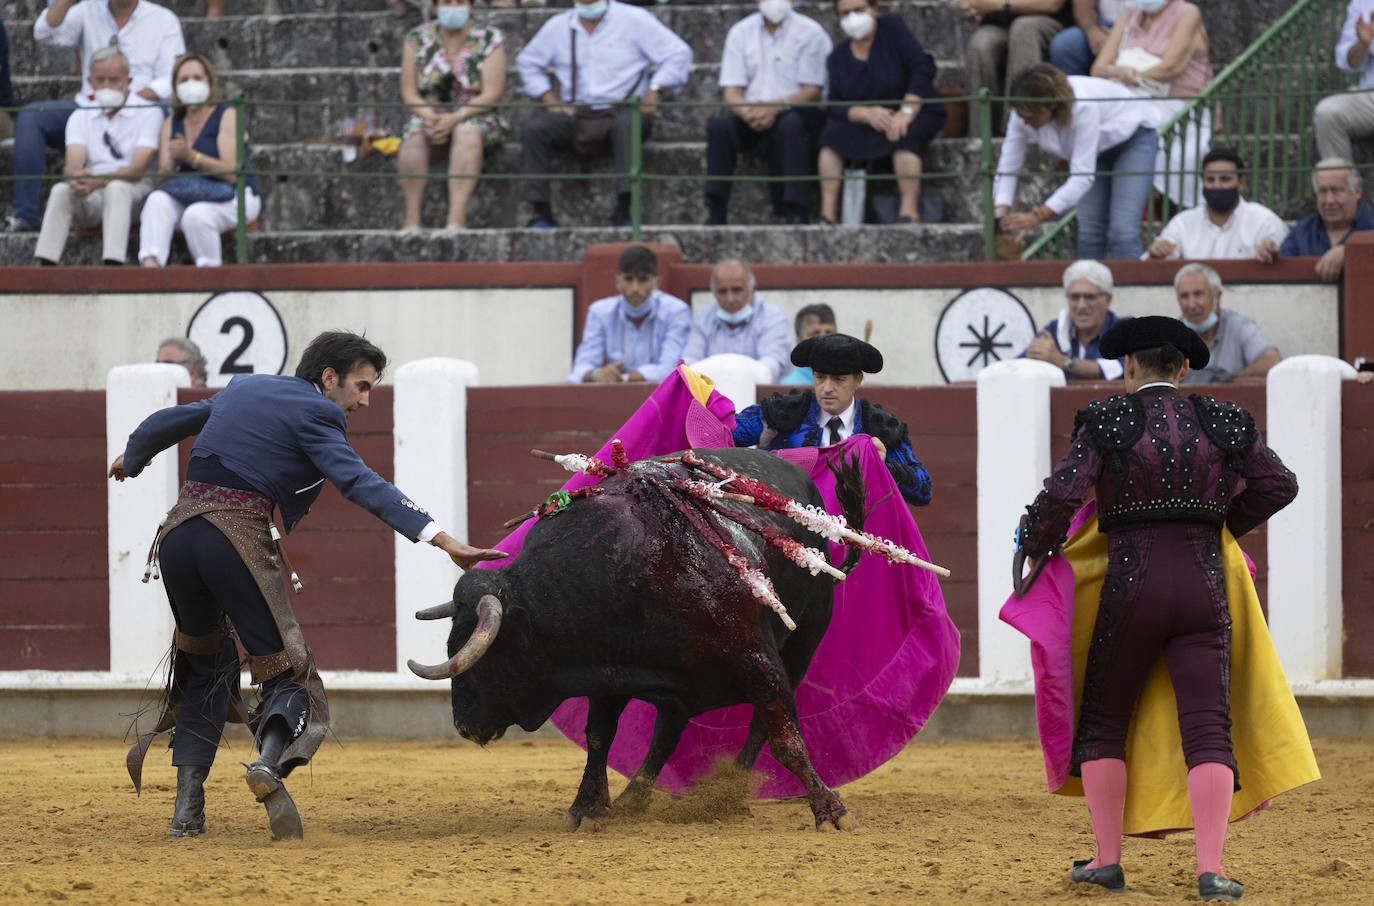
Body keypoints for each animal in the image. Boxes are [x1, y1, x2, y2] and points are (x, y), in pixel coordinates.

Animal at [401, 445, 862, 830]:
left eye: (489, 655)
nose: (464, 725)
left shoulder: (758, 661)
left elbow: (786, 740)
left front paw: (831, 813)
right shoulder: (606, 667)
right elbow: (599, 736)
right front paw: (587, 808)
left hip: (805, 640)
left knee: (754, 728)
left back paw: (728, 793)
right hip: (688, 683)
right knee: (667, 732)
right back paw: (634, 797)